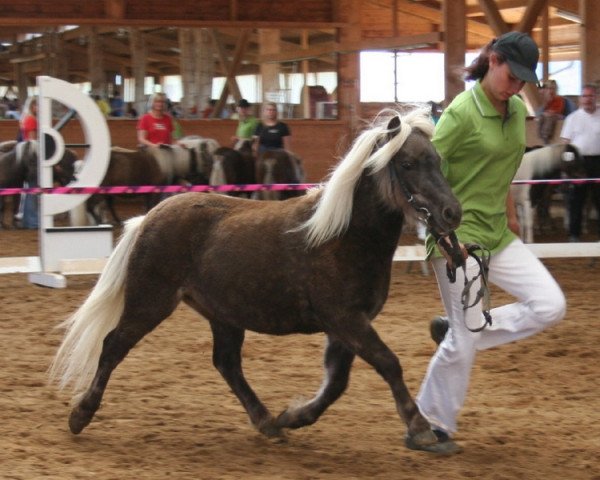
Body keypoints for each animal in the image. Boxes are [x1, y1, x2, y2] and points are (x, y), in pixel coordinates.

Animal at [51, 109, 462, 454]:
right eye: (407, 163)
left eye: (438, 161)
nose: (451, 213)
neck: (343, 236)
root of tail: (149, 217)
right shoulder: (346, 320)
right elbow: (388, 364)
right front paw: (421, 429)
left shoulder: (347, 325)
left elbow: (337, 382)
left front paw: (294, 417)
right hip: (149, 301)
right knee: (113, 346)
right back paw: (80, 415)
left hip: (222, 314)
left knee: (227, 364)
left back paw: (267, 422)